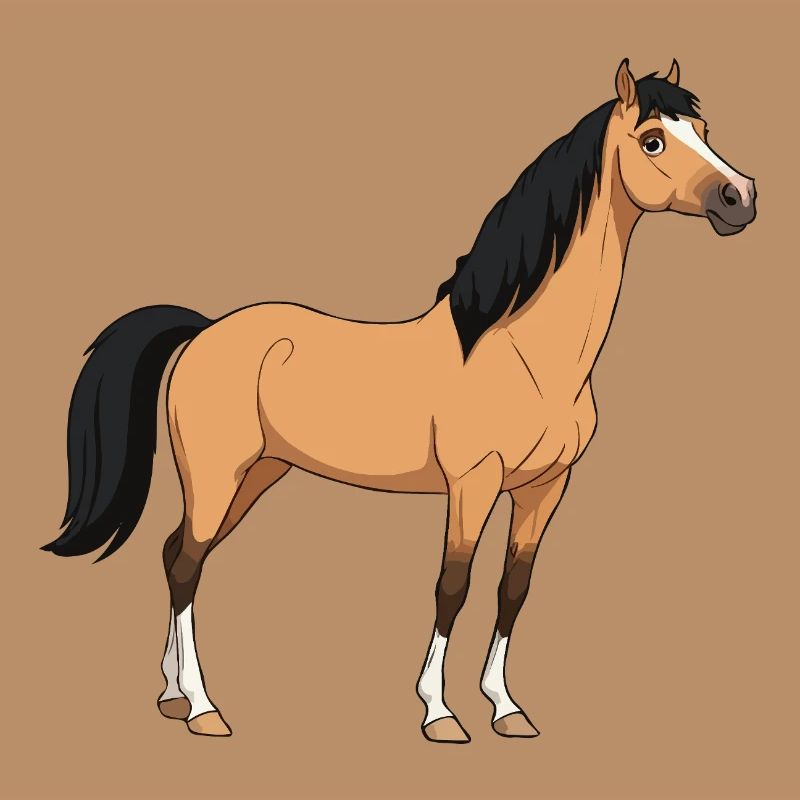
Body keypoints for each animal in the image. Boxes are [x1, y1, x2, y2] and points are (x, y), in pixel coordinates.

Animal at [43, 59, 756, 742]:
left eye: (705, 131)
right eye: (653, 139)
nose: (741, 196)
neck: (522, 351)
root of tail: (203, 331)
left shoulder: (546, 487)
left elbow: (513, 589)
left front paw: (505, 708)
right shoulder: (473, 482)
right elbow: (453, 586)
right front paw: (439, 713)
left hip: (258, 474)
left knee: (177, 555)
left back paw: (170, 697)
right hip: (218, 475)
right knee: (187, 566)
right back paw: (201, 709)